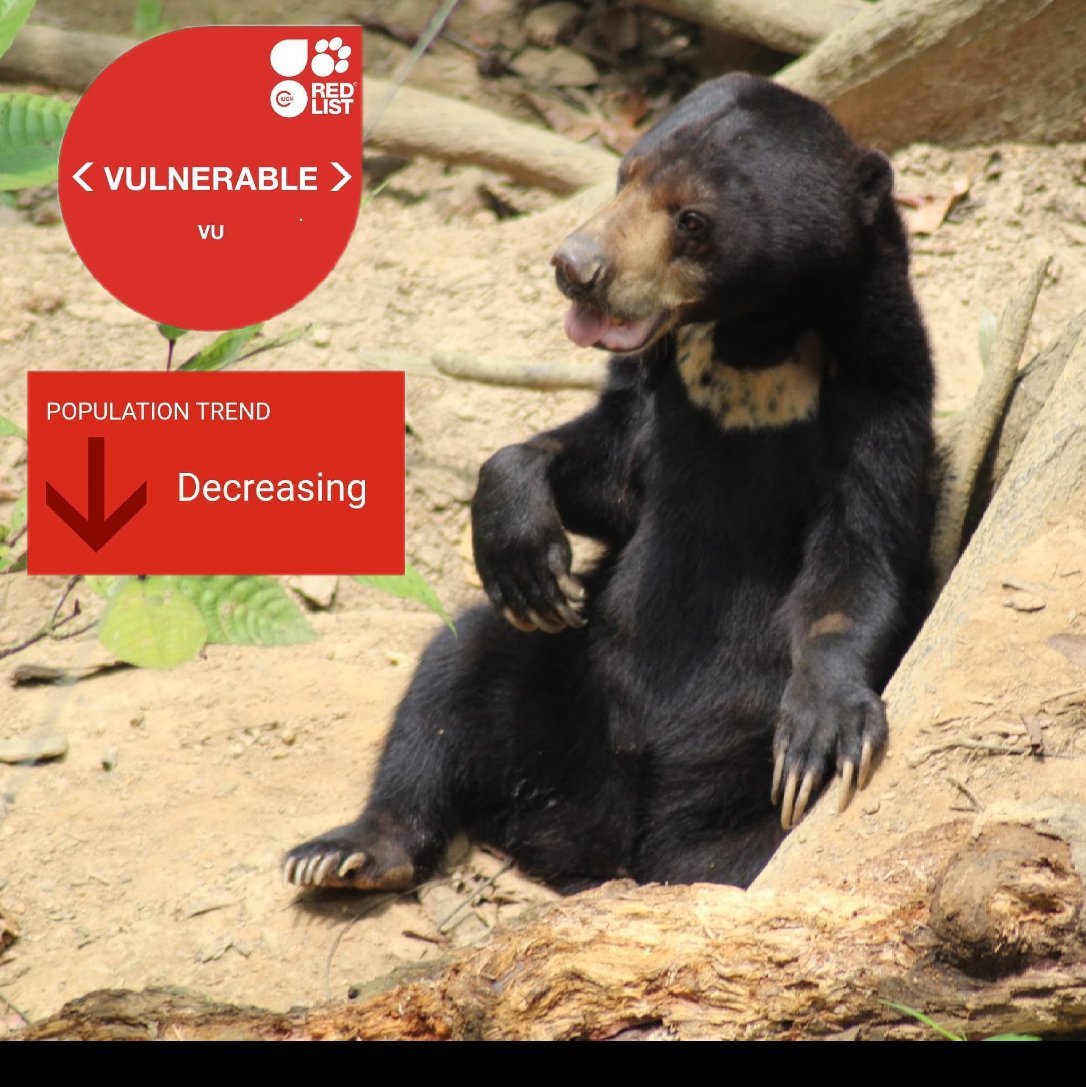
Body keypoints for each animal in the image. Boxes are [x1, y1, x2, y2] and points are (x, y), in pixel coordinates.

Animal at [283, 73, 935, 894]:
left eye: (692, 219)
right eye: (626, 173)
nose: (575, 265)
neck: (752, 351)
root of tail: (616, 847)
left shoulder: (880, 397)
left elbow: (857, 564)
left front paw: (821, 735)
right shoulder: (660, 386)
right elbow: (605, 470)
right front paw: (523, 551)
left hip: (730, 824)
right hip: (561, 699)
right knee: (451, 675)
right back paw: (346, 852)